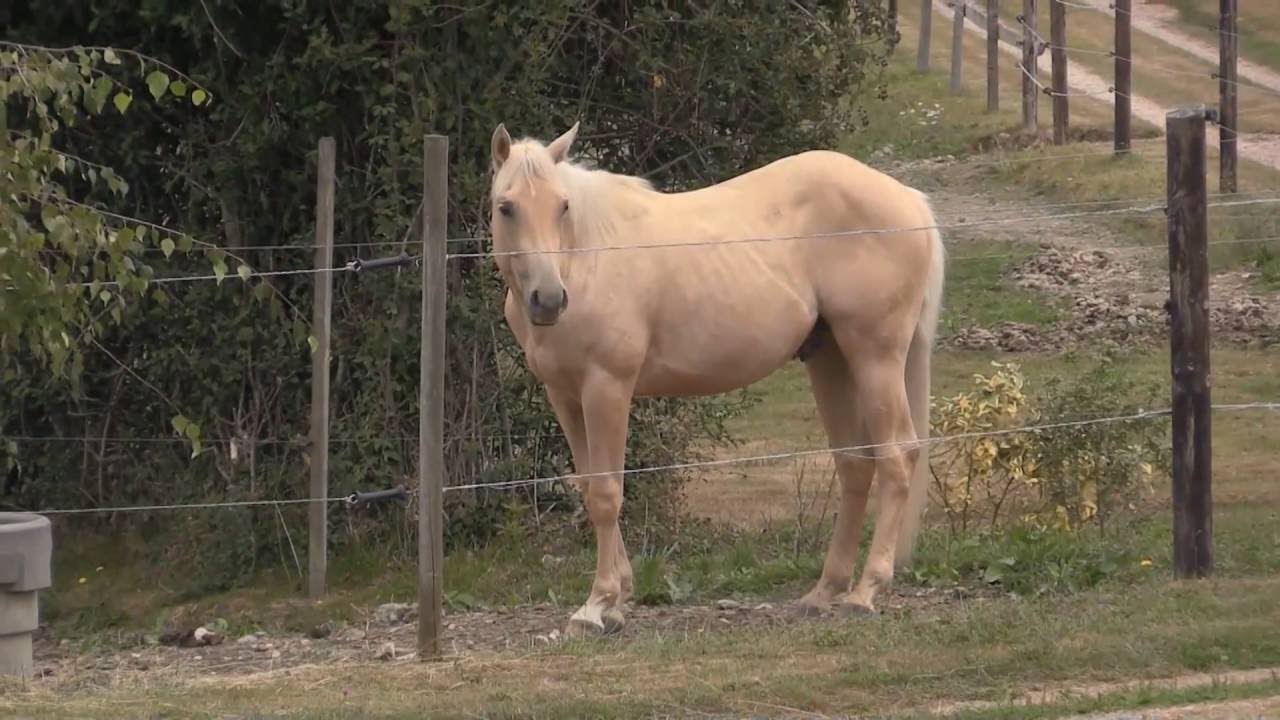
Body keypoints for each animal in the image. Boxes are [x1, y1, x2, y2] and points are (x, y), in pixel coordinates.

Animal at [487, 121, 945, 636]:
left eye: (563, 205)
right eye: (506, 207)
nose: (548, 300)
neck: (584, 258)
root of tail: (909, 200)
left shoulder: (607, 388)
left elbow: (607, 493)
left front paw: (597, 604)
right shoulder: (564, 395)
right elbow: (589, 487)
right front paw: (618, 598)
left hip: (875, 358)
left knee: (896, 457)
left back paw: (865, 592)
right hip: (830, 361)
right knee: (855, 464)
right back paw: (824, 591)